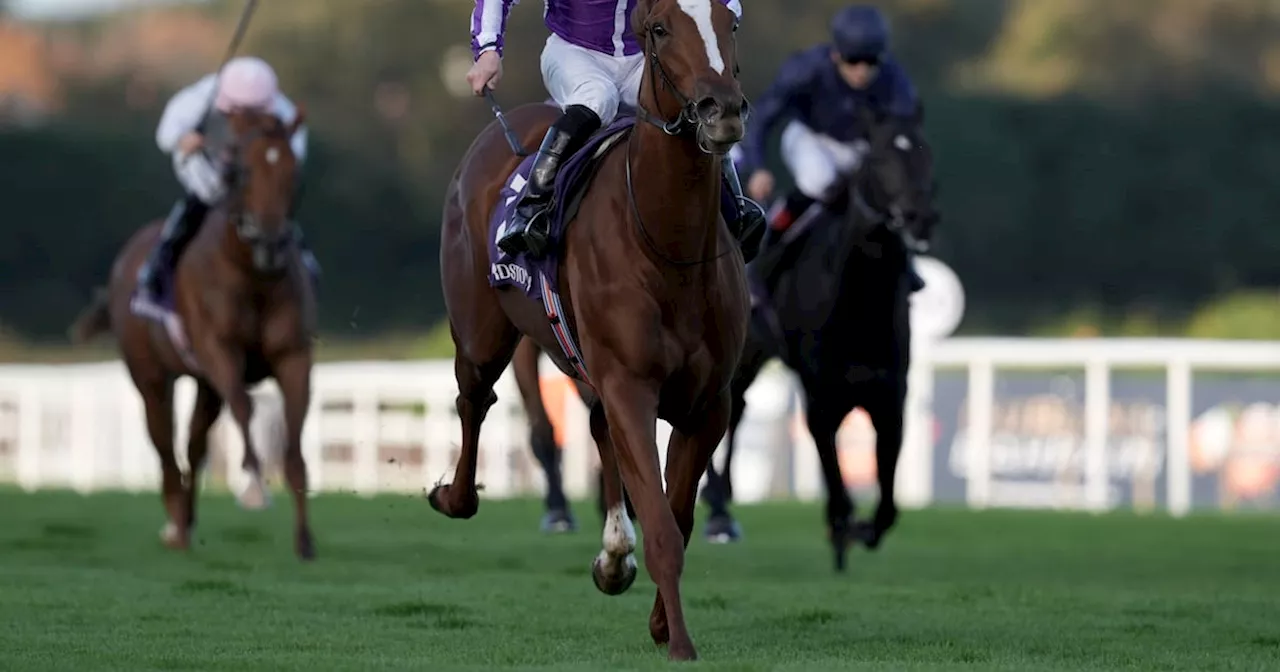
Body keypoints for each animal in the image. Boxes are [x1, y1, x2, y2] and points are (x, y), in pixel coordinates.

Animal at [70, 107, 320, 558]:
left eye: (295, 171)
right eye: (242, 171)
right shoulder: (218, 351)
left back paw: (185, 522)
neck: (251, 274)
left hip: (204, 385)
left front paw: (305, 540)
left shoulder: (294, 358)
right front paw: (254, 489)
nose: (271, 242)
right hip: (151, 376)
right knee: (165, 446)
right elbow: (245, 408)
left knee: (194, 443)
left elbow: (294, 442)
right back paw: (174, 525)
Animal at [432, 0, 747, 660]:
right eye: (660, 28)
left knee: (596, 430)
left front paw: (659, 620)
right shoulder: (631, 385)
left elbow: (677, 515)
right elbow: (662, 527)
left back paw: (613, 556)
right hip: (481, 333)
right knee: (474, 400)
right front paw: (680, 642)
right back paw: (455, 496)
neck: (669, 246)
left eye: (729, 23)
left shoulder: (708, 402)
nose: (722, 110)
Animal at [701, 104, 942, 570]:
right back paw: (717, 503)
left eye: (927, 154)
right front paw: (842, 527)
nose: (921, 219)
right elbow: (835, 479)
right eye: (881, 158)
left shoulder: (889, 396)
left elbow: (886, 504)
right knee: (728, 407)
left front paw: (861, 529)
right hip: (740, 353)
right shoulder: (820, 395)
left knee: (737, 411)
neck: (859, 304)